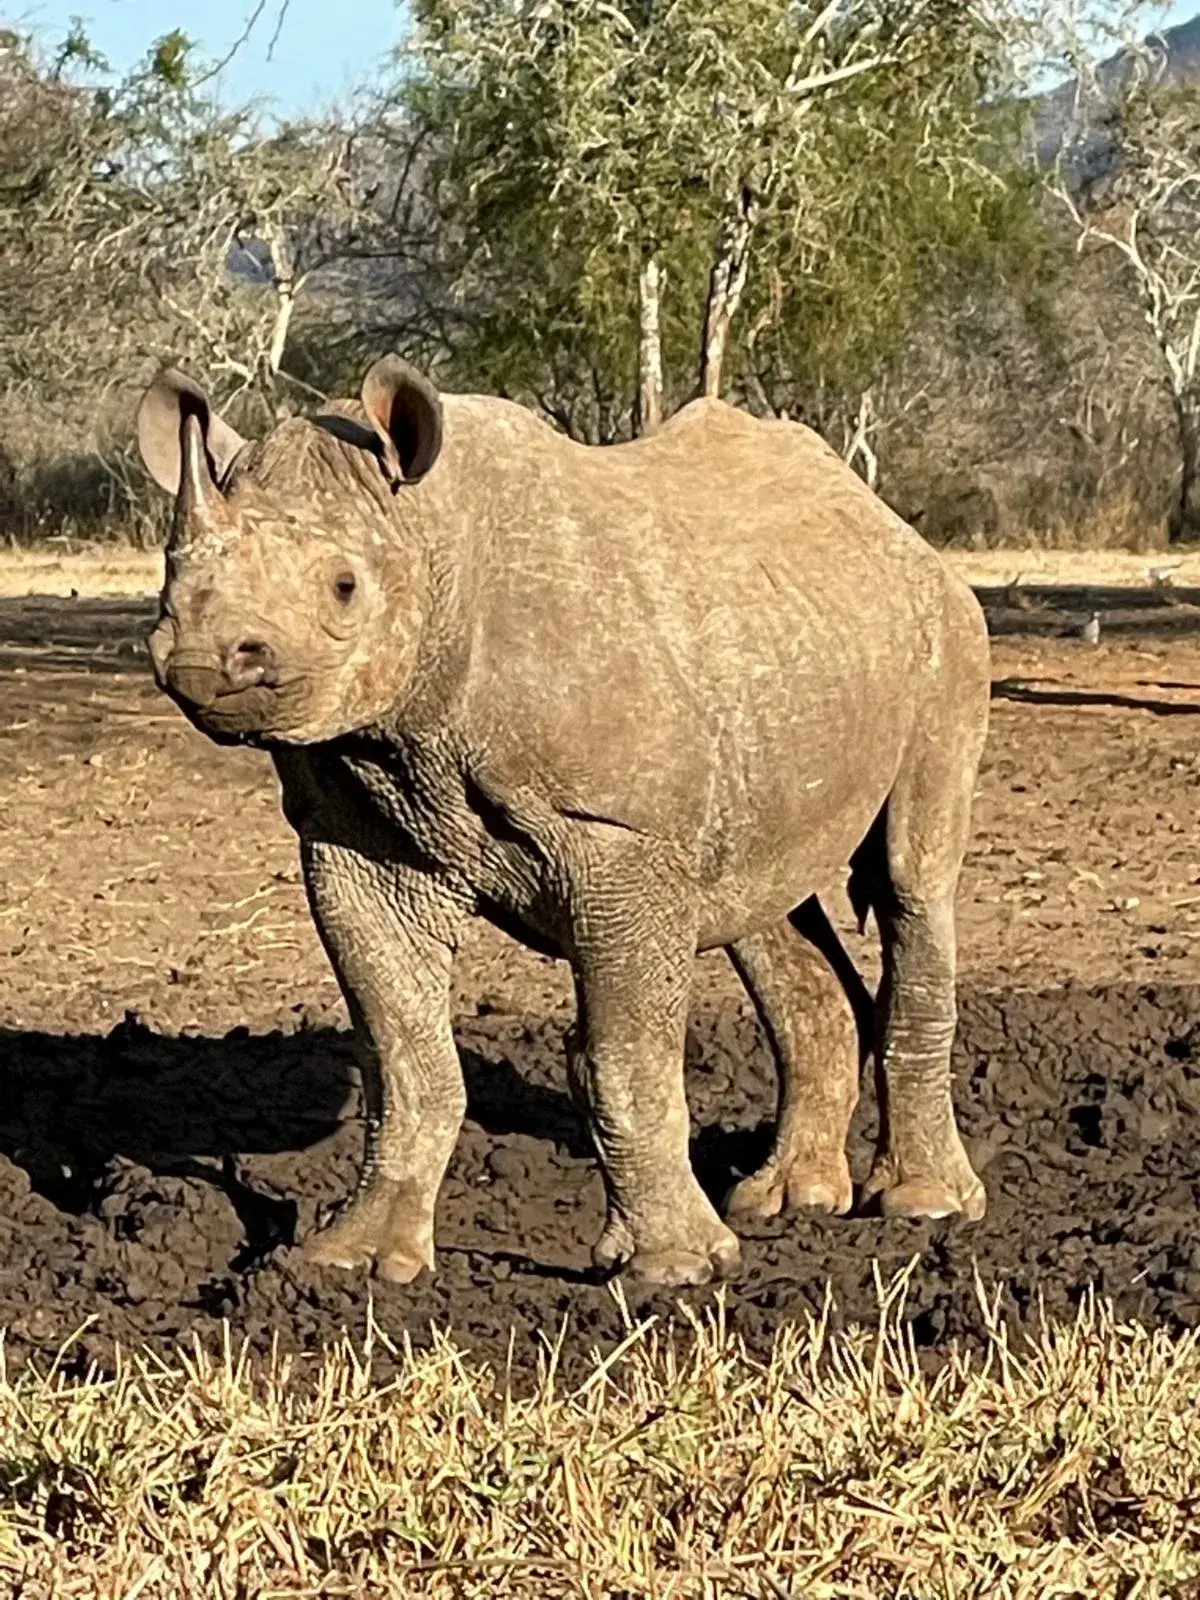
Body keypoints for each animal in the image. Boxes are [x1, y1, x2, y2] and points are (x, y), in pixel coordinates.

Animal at [136, 357, 990, 1287]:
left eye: (344, 586)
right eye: (170, 578)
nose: (202, 661)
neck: (430, 540)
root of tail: (892, 525)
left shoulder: (618, 836)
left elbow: (622, 1055)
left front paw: (672, 1271)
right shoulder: (352, 832)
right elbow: (402, 1054)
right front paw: (358, 1260)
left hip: (946, 634)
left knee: (912, 880)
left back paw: (924, 1208)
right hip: (790, 645)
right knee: (765, 904)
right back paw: (784, 1202)